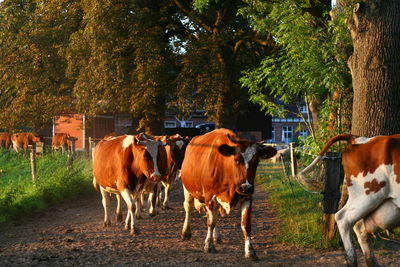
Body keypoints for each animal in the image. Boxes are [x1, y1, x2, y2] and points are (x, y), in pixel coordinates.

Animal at [180, 129, 276, 260]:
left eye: (256, 162)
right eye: (236, 160)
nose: (246, 187)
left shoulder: (247, 198)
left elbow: (246, 225)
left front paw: (250, 251)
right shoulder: (210, 197)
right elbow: (211, 222)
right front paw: (208, 246)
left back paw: (217, 236)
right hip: (188, 189)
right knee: (188, 208)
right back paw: (186, 232)